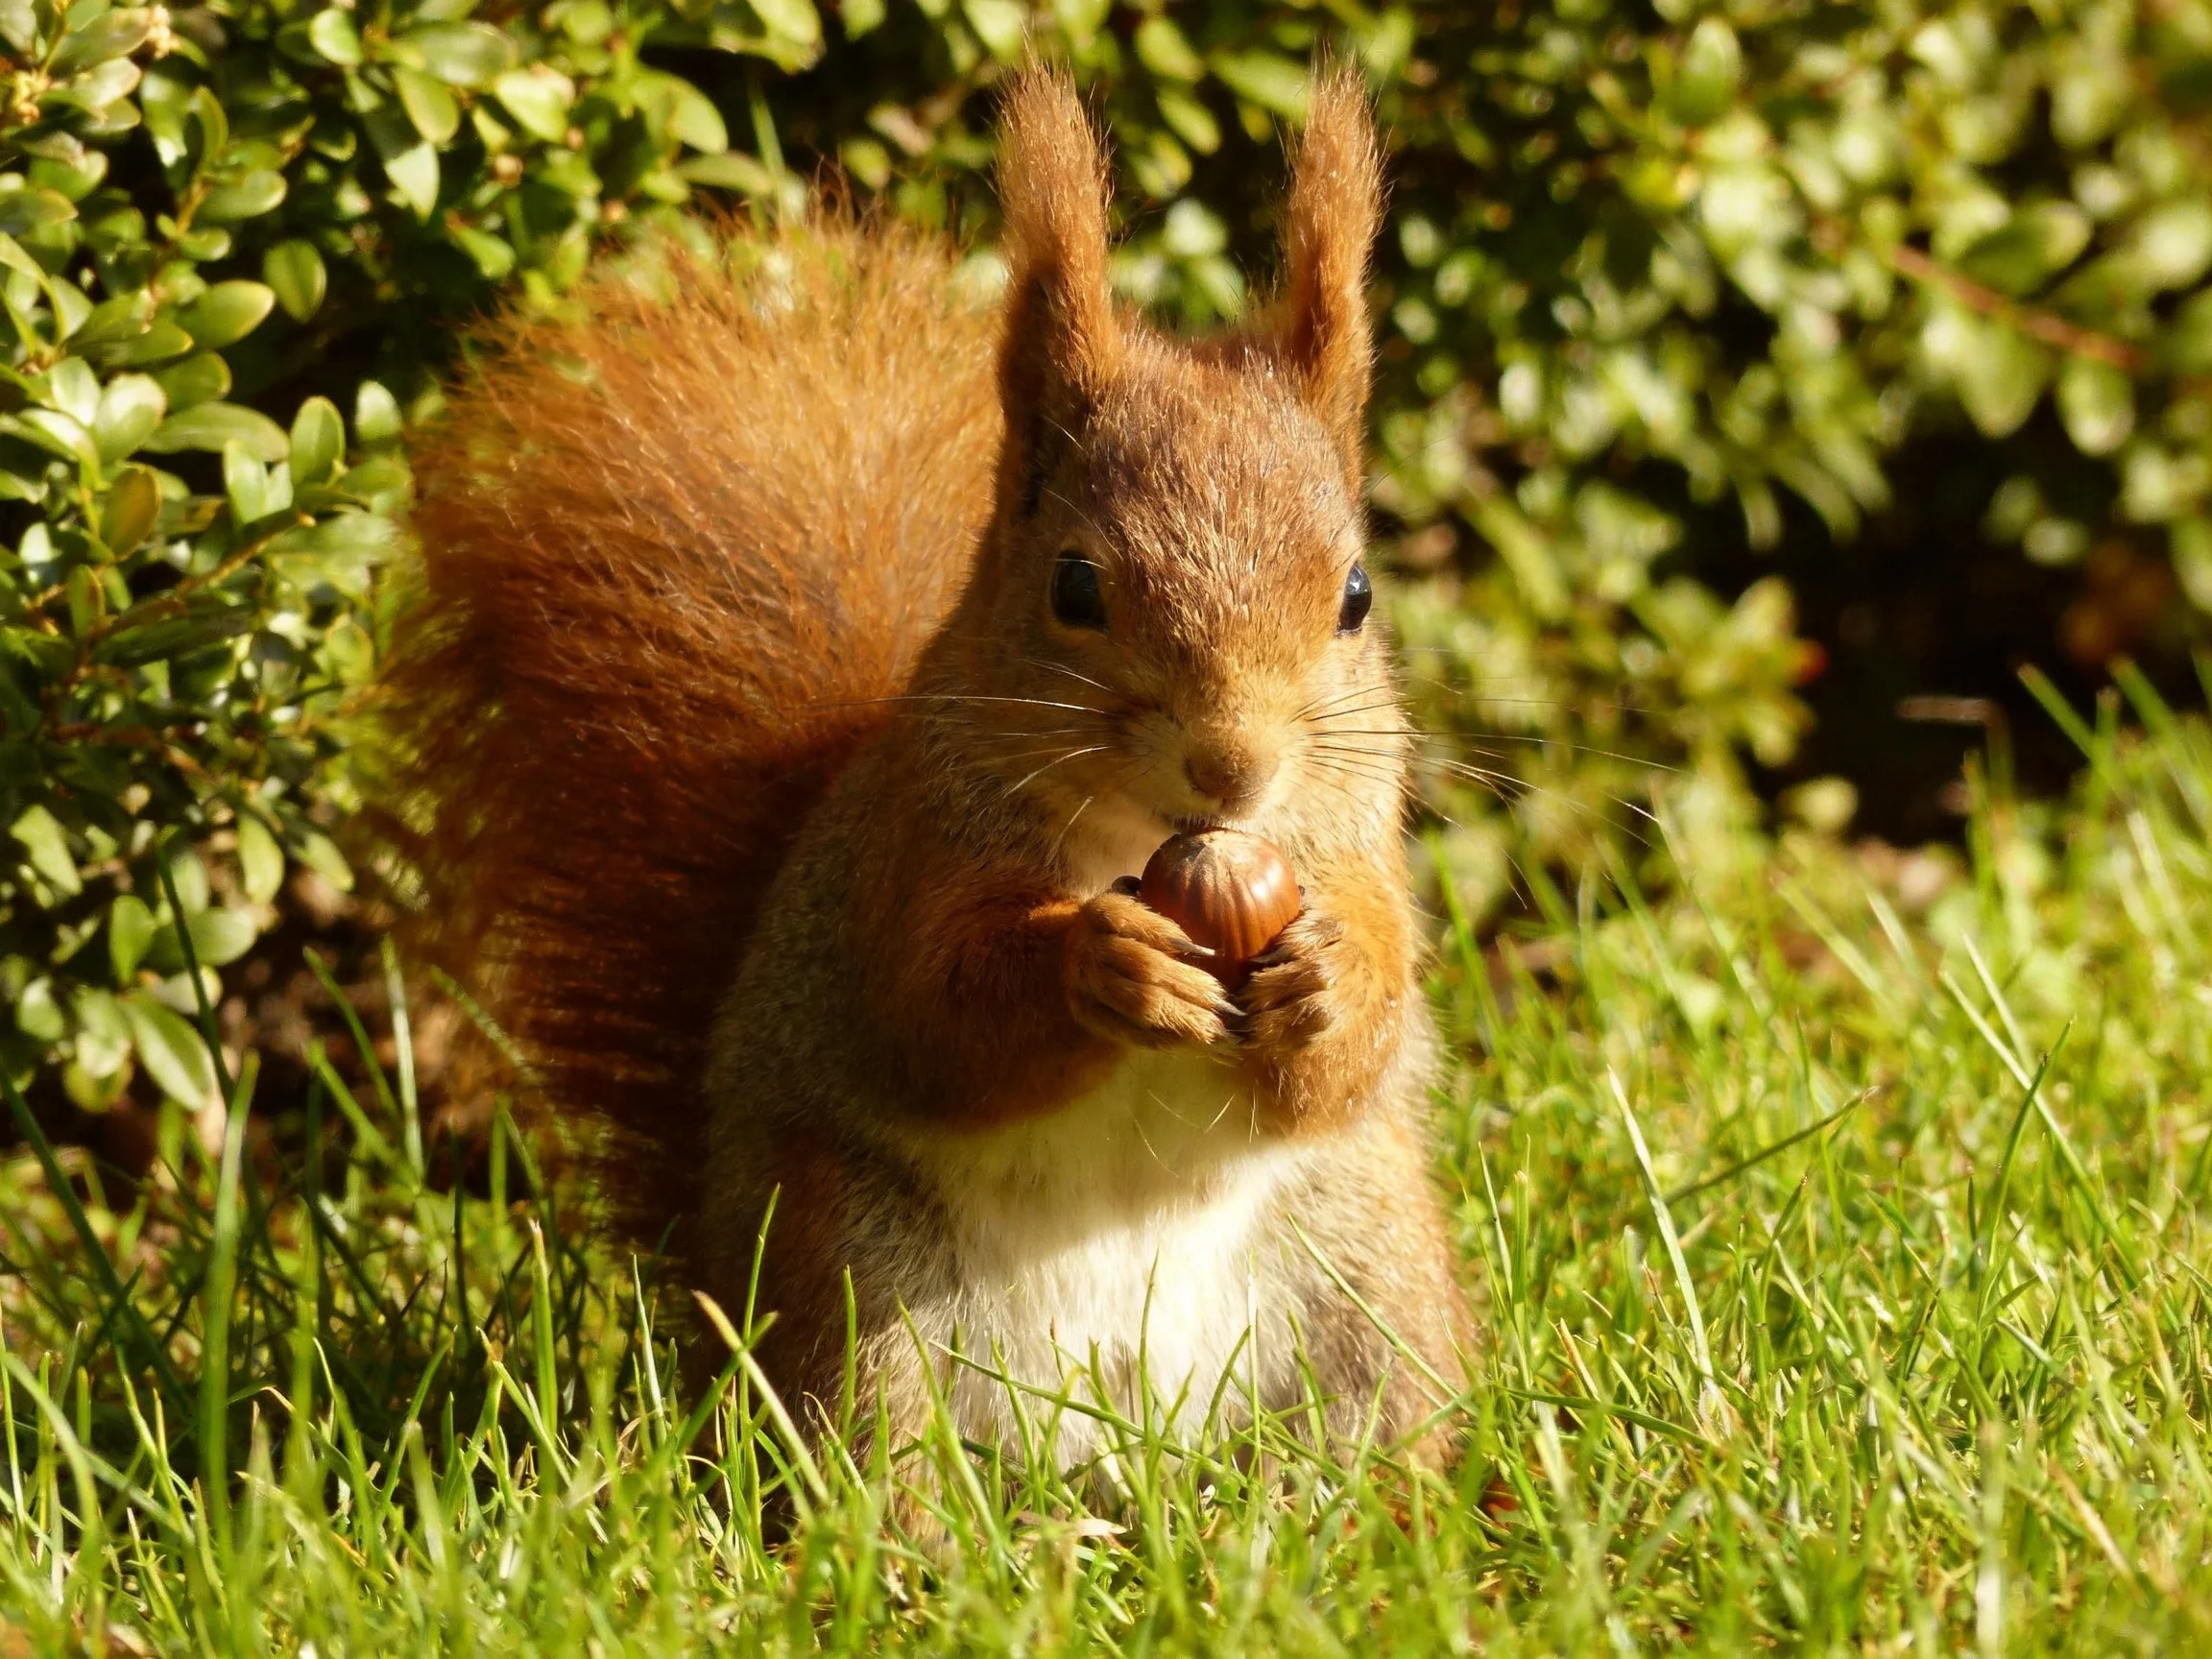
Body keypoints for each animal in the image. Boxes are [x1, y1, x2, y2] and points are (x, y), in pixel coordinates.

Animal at [382, 67, 1469, 1480]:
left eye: (1357, 594)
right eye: (1075, 586)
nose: (1231, 766)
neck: (1149, 842)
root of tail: (1122, 1438)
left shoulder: (1355, 843)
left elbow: (1361, 1037)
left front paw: (1330, 976)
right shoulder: (909, 850)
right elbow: (933, 1015)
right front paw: (1102, 965)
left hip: (1364, 1272)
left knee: (1369, 1421)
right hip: (861, 1287)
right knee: (867, 1459)